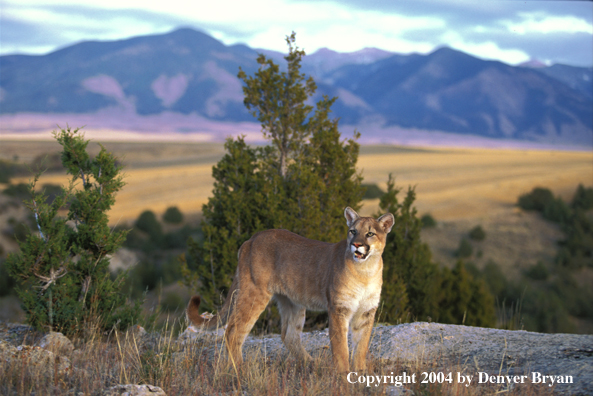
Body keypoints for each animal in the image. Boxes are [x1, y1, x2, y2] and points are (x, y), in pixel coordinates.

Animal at [187, 206, 396, 372]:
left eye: (370, 234)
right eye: (352, 231)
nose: (356, 244)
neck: (365, 272)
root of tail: (251, 239)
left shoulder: (366, 312)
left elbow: (361, 347)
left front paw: (360, 374)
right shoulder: (339, 309)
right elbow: (341, 348)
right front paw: (344, 377)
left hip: (292, 300)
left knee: (289, 335)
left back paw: (313, 364)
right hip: (254, 293)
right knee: (232, 331)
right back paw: (240, 370)